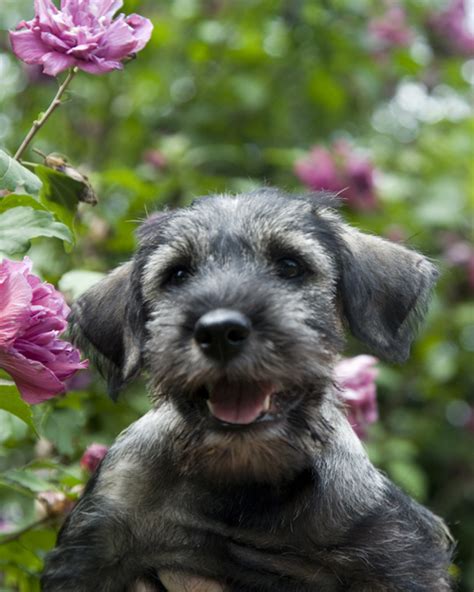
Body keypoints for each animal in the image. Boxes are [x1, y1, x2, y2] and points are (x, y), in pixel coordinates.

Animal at [42, 190, 454, 592]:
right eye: (178, 275)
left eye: (290, 266)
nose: (220, 332)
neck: (243, 478)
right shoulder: (99, 539)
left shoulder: (395, 555)